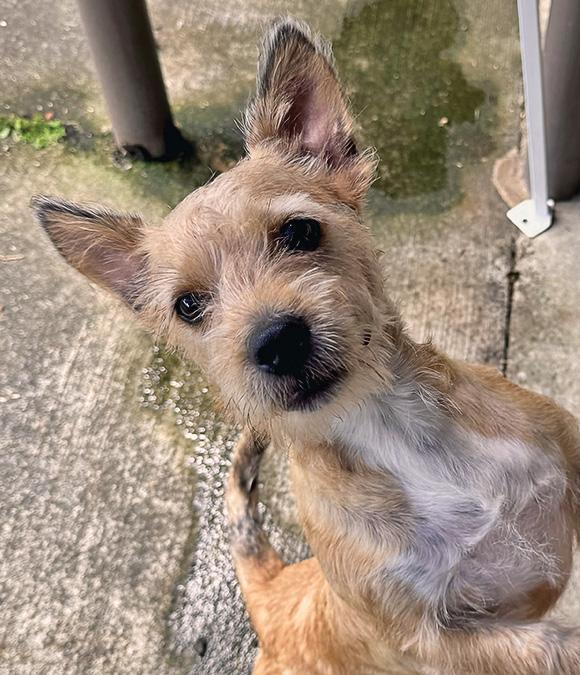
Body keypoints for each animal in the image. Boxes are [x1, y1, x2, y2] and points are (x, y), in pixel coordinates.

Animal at [33, 18, 580, 675]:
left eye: (300, 231)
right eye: (187, 306)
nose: (276, 342)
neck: (392, 431)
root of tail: (273, 599)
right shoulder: (437, 641)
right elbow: (552, 644)